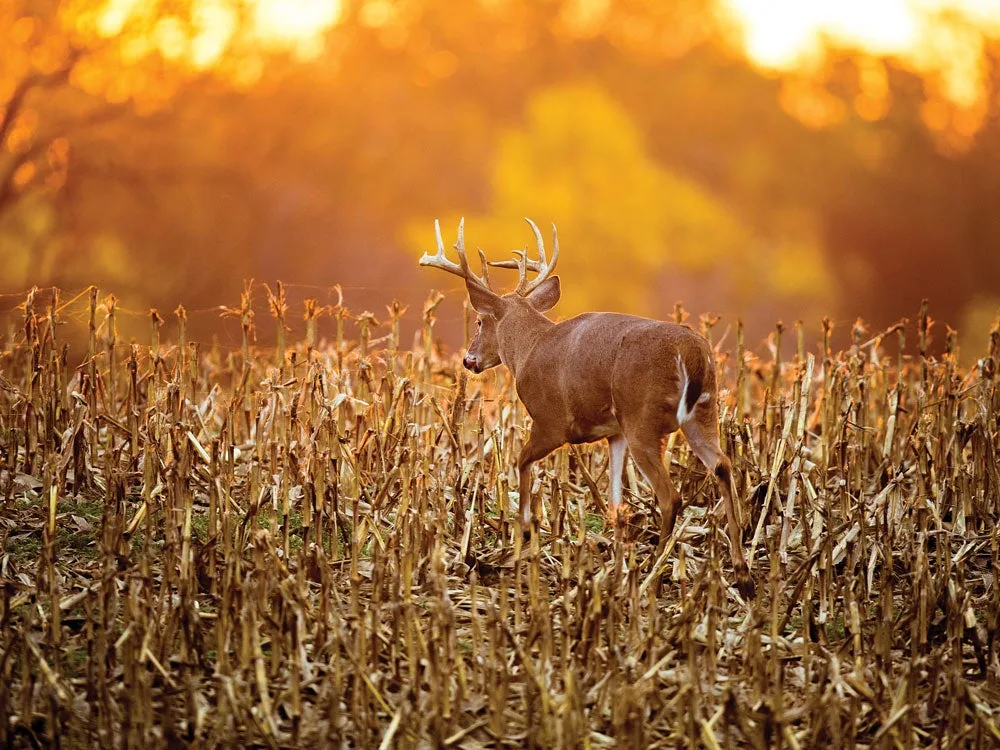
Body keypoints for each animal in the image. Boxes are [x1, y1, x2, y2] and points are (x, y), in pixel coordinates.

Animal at [418, 217, 752, 600]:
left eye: (479, 321)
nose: (468, 360)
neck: (527, 351)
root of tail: (692, 352)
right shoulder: (614, 433)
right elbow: (616, 499)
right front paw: (614, 553)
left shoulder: (551, 421)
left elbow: (520, 462)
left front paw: (524, 533)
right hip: (702, 412)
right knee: (723, 466)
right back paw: (742, 575)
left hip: (642, 417)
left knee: (672, 496)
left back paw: (651, 574)